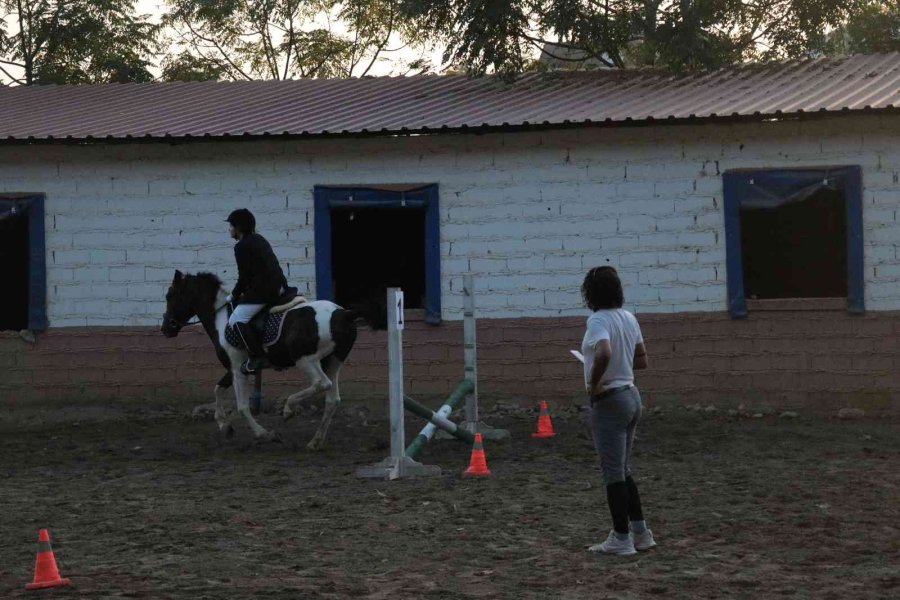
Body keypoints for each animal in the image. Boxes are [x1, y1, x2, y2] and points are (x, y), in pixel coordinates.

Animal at [160, 270, 384, 448]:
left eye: (170, 296)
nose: (165, 329)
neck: (221, 319)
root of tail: (343, 313)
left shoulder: (237, 369)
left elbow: (242, 407)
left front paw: (265, 434)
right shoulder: (235, 368)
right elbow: (217, 389)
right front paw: (224, 425)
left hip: (306, 360)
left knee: (321, 383)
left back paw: (288, 409)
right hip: (333, 362)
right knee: (332, 400)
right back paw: (315, 441)